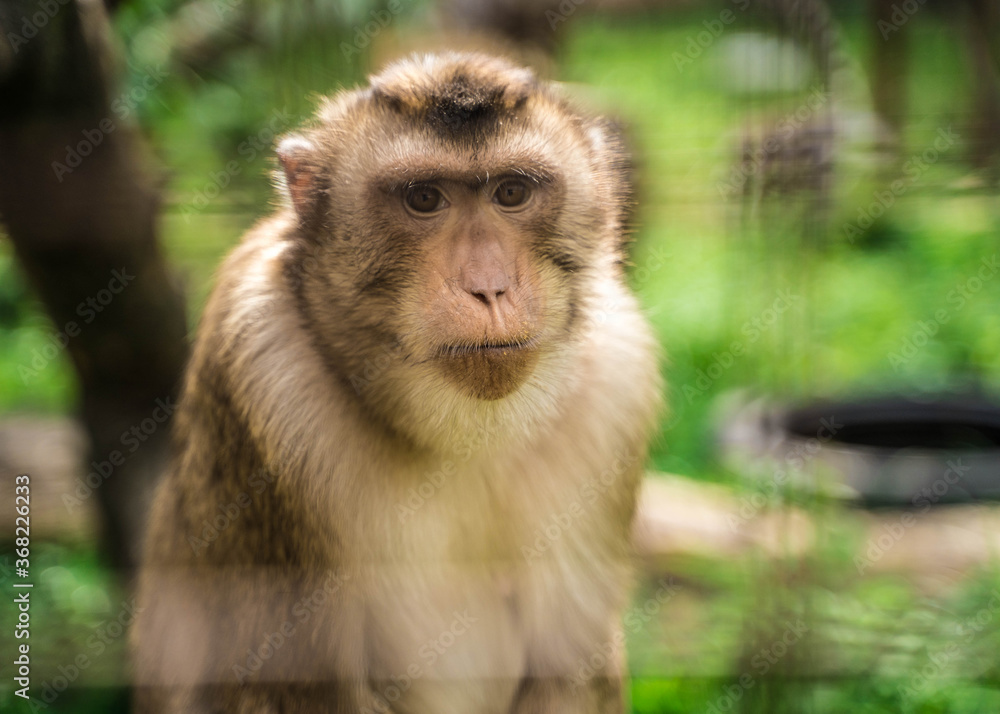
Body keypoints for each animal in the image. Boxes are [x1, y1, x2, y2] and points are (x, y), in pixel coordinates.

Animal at [133, 52, 662, 714]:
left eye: (511, 192)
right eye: (424, 198)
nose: (489, 288)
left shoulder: (617, 387)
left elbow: (569, 673)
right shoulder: (259, 365)